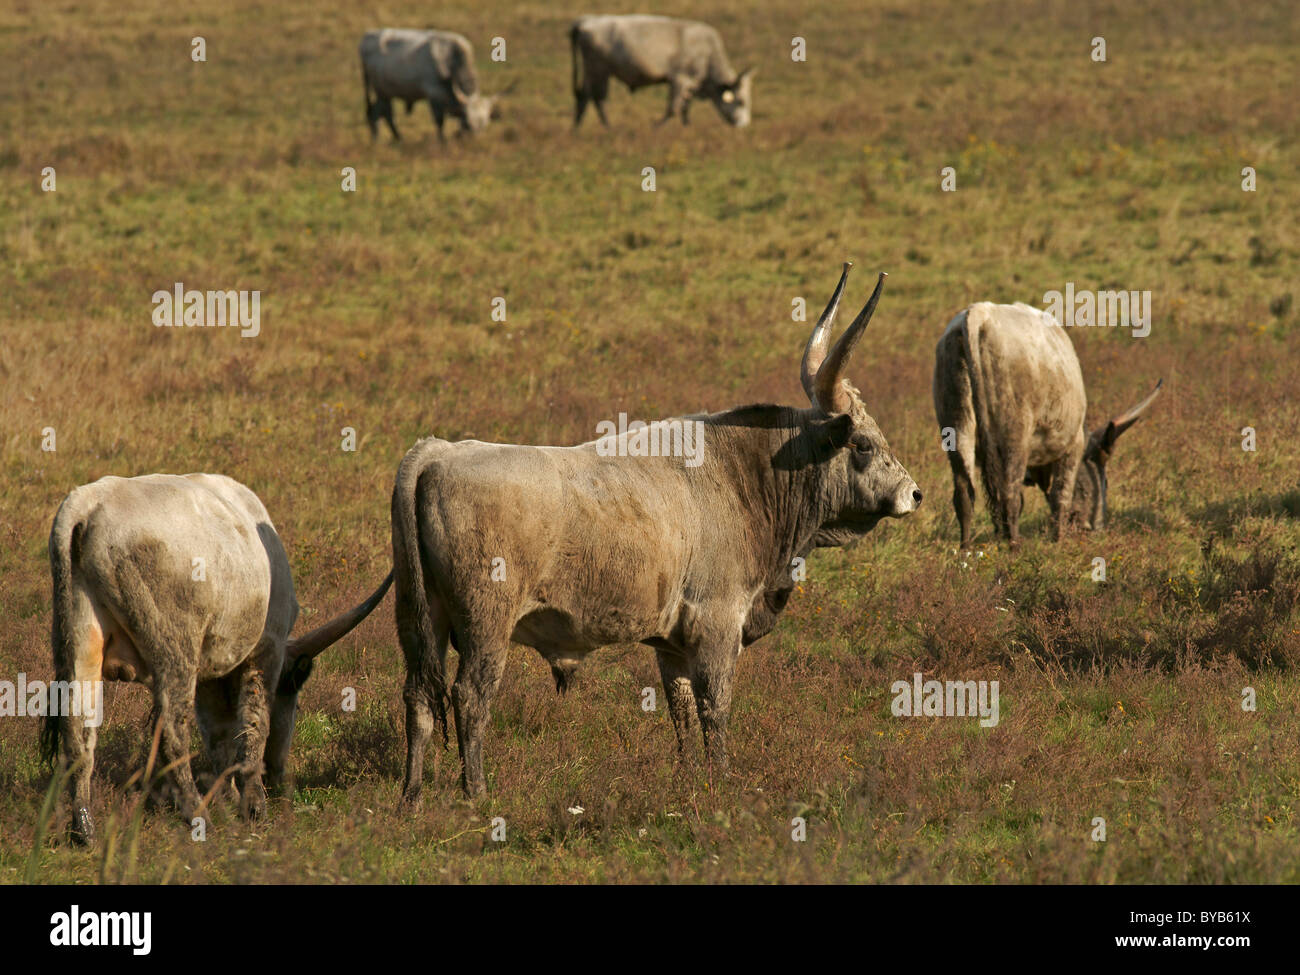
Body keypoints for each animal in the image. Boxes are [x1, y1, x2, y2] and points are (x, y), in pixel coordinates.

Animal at [41, 473, 393, 846]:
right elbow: (254, 725)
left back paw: (84, 830)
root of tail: (87, 504)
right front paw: (253, 806)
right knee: (171, 734)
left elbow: (219, 736)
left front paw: (230, 799)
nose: (280, 780)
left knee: (78, 729)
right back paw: (198, 815)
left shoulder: (212, 673)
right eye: (294, 694)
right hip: (175, 649)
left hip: (80, 638)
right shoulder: (264, 652)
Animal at [360, 28, 500, 141]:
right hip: (380, 91)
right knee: (380, 113)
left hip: (385, 92)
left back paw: (394, 138)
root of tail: (367, 36)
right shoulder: (434, 94)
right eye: (468, 124)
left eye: (484, 125)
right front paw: (442, 142)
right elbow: (439, 121)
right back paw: (382, 139)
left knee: (382, 113)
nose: (474, 141)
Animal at [392, 263, 921, 801]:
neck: (746, 474)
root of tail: (437, 452)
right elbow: (715, 709)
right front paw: (721, 780)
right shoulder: (716, 625)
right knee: (469, 696)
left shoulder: (673, 644)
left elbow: (681, 712)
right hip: (486, 624)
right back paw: (476, 793)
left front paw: (690, 779)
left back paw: (412, 796)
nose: (914, 493)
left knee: (418, 696)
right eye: (862, 444)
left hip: (419, 618)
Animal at [569, 15, 755, 127]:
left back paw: (578, 130)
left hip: (594, 71)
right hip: (598, 69)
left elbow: (685, 108)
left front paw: (687, 127)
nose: (744, 125)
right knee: (596, 99)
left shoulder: (690, 83)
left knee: (585, 97)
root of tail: (585, 22)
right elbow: (673, 108)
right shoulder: (680, 79)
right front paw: (656, 127)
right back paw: (607, 128)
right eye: (741, 101)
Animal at [933, 301, 1163, 549]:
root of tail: (978, 313)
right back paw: (1014, 545)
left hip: (957, 428)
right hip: (1014, 436)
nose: (1095, 527)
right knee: (1010, 492)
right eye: (1106, 481)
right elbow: (1061, 495)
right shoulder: (1072, 448)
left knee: (965, 492)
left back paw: (966, 547)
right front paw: (1058, 539)